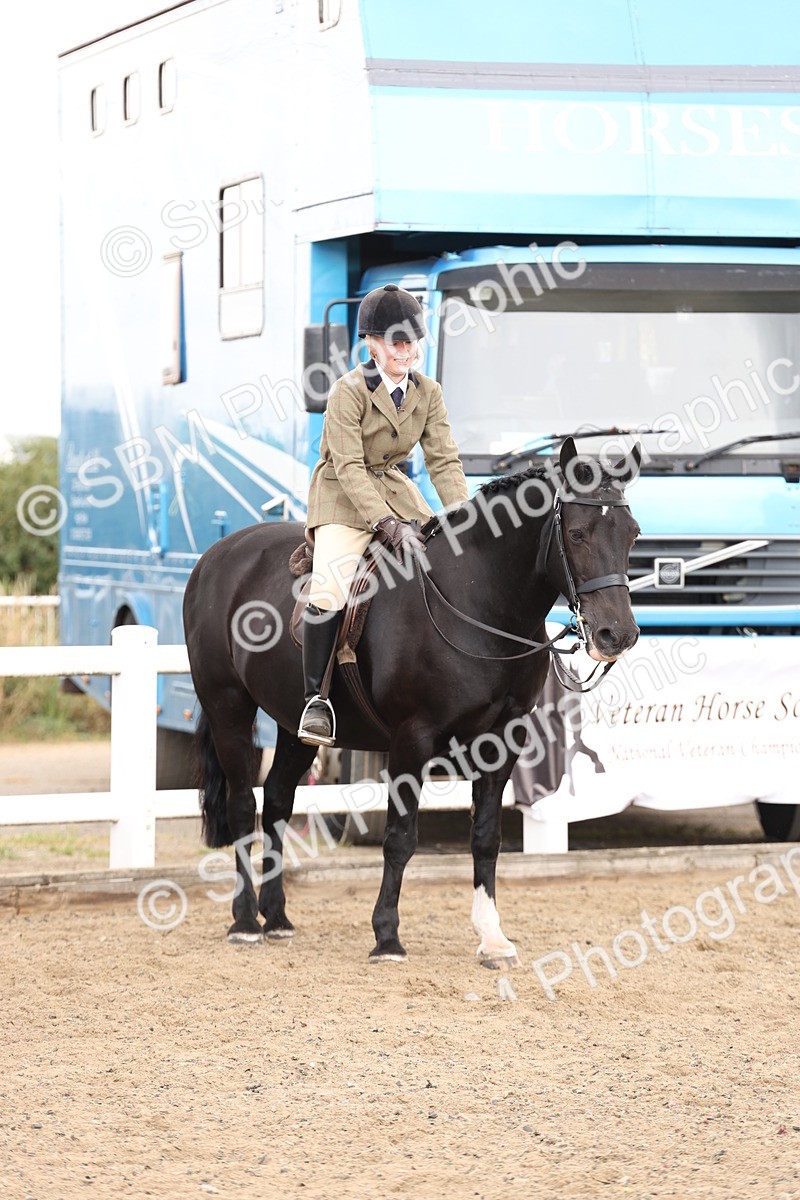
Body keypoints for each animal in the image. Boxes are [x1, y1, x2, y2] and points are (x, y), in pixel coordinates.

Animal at [182, 437, 641, 965]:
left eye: (632, 534)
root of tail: (219, 553)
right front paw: (386, 937)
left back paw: (276, 918)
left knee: (278, 802)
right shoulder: (413, 738)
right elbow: (400, 838)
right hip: (228, 708)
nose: (617, 635)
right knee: (243, 806)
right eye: (579, 533)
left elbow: (487, 836)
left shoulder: (503, 738)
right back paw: (244, 921)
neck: (478, 600)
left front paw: (492, 937)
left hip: (292, 722)